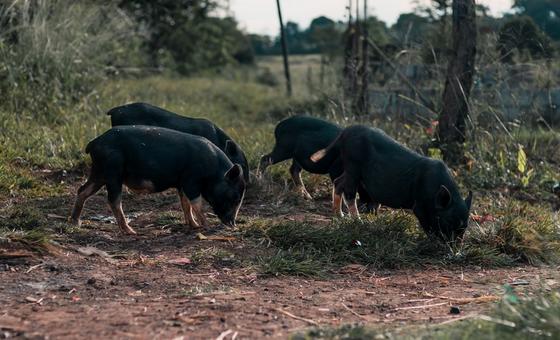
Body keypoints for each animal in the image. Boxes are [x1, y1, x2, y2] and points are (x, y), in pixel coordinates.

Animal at [70, 126, 245, 235]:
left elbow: (185, 204)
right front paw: (206, 226)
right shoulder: (191, 180)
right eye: (235, 196)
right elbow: (196, 203)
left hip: (99, 172)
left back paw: (75, 222)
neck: (213, 171)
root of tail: (94, 142)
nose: (233, 225)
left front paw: (194, 225)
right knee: (113, 200)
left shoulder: (181, 183)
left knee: (82, 190)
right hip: (113, 172)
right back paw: (131, 231)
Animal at [310, 125, 472, 242]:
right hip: (352, 166)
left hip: (351, 169)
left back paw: (340, 215)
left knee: (338, 182)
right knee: (348, 191)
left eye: (464, 226)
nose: (455, 249)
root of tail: (345, 132)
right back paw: (358, 221)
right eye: (448, 221)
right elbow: (428, 225)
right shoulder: (419, 206)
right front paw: (435, 243)